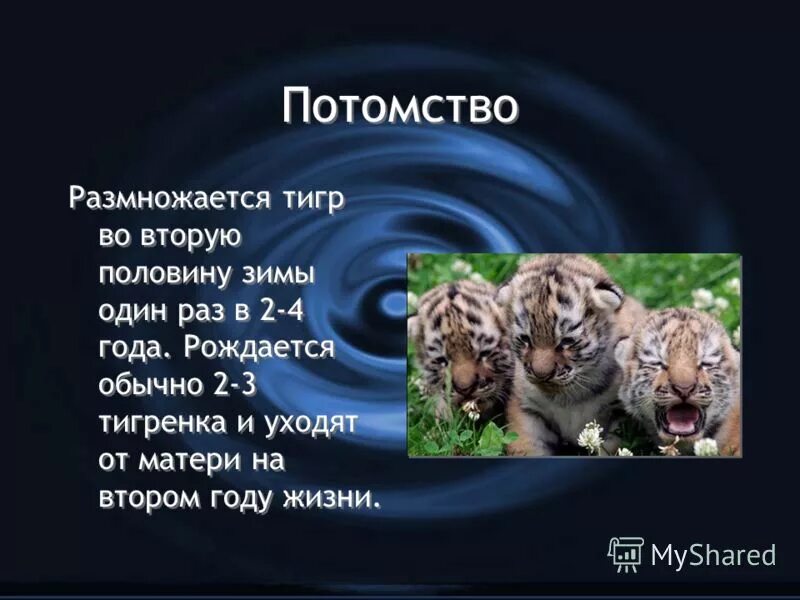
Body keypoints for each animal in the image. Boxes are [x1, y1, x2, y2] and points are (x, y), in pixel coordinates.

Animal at [499, 254, 646, 456]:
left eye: (566, 341)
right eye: (525, 339)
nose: (541, 375)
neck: (569, 397)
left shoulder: (618, 414)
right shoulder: (526, 409)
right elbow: (527, 445)